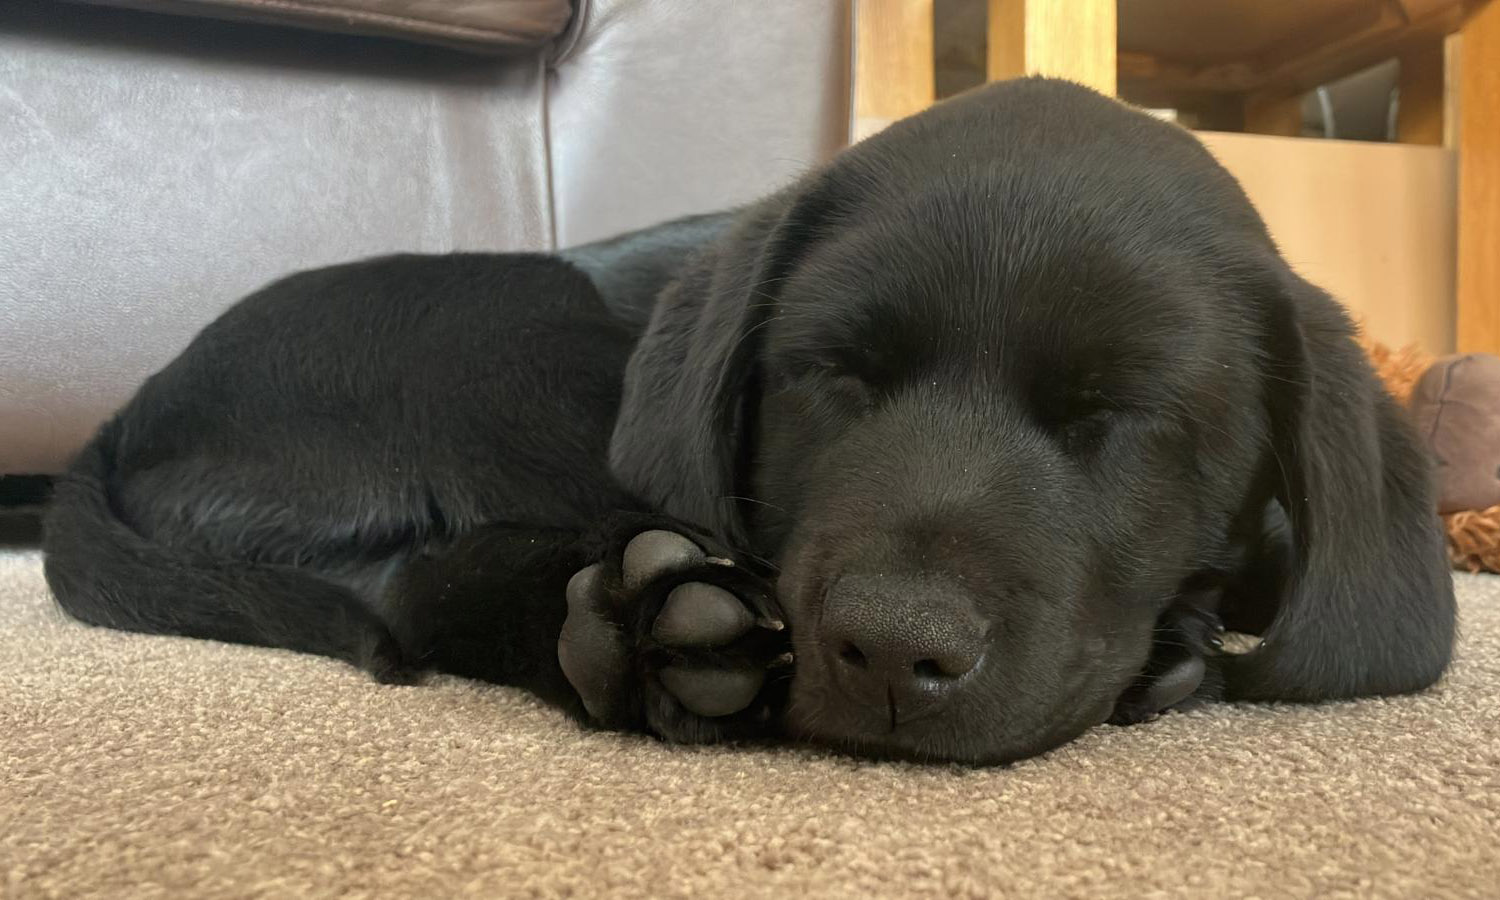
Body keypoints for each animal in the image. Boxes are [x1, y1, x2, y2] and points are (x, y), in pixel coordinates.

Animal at [43, 81, 1452, 762]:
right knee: (430, 580)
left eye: (1121, 414)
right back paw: (663, 627)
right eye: (833, 374)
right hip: (530, 340)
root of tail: (132, 411)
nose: (893, 651)